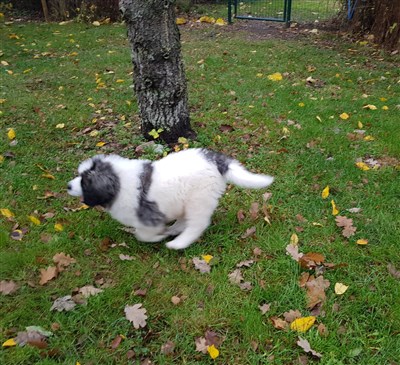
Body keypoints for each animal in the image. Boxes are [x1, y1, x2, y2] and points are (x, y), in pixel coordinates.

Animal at [69, 147, 274, 247]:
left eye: (85, 182)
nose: (68, 186)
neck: (119, 182)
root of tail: (215, 159)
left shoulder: (148, 217)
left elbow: (142, 234)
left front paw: (157, 237)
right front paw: (163, 233)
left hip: (199, 199)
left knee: (198, 224)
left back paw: (178, 243)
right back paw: (175, 230)